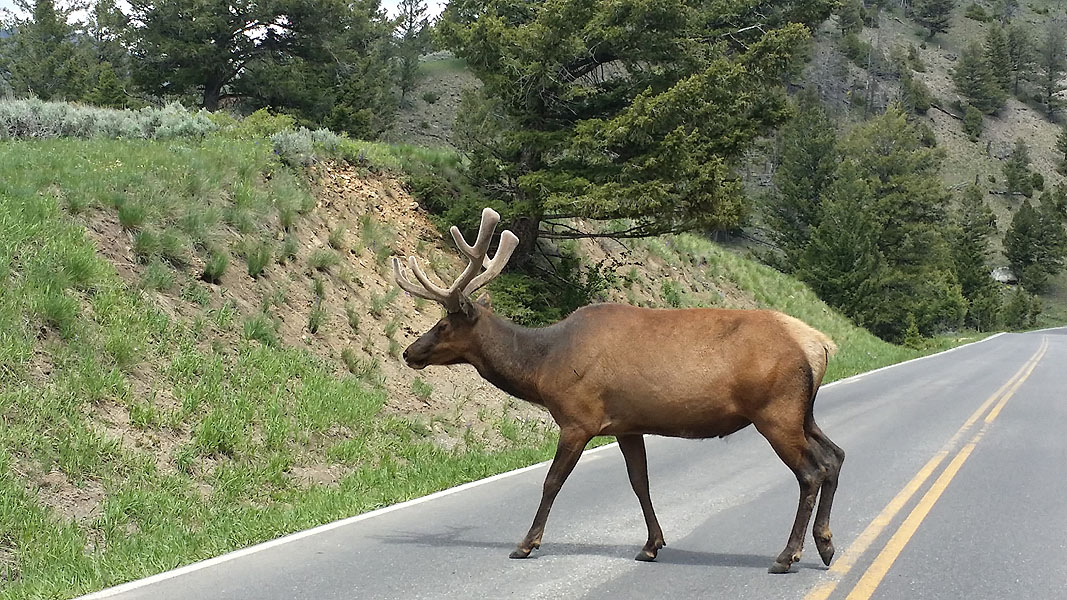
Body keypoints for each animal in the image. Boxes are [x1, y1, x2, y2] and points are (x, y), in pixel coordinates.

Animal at [392, 208, 845, 574]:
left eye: (443, 323)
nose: (409, 351)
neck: (542, 368)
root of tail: (820, 344)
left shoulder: (578, 419)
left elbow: (552, 482)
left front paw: (526, 543)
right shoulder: (628, 425)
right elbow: (639, 482)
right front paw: (651, 545)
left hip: (775, 410)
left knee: (810, 471)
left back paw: (787, 555)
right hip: (803, 411)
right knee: (834, 457)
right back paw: (825, 545)